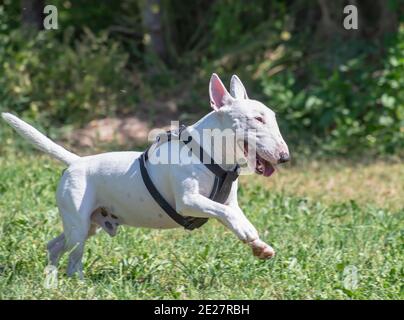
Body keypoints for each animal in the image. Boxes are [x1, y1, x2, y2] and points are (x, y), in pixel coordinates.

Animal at [2, 73, 288, 278]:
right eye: (258, 119)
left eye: (272, 116)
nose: (285, 156)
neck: (208, 154)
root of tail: (77, 161)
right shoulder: (188, 201)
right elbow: (225, 213)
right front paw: (248, 231)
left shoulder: (228, 201)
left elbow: (231, 212)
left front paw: (260, 247)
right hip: (78, 222)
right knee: (73, 260)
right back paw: (78, 283)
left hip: (87, 224)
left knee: (54, 246)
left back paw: (51, 282)